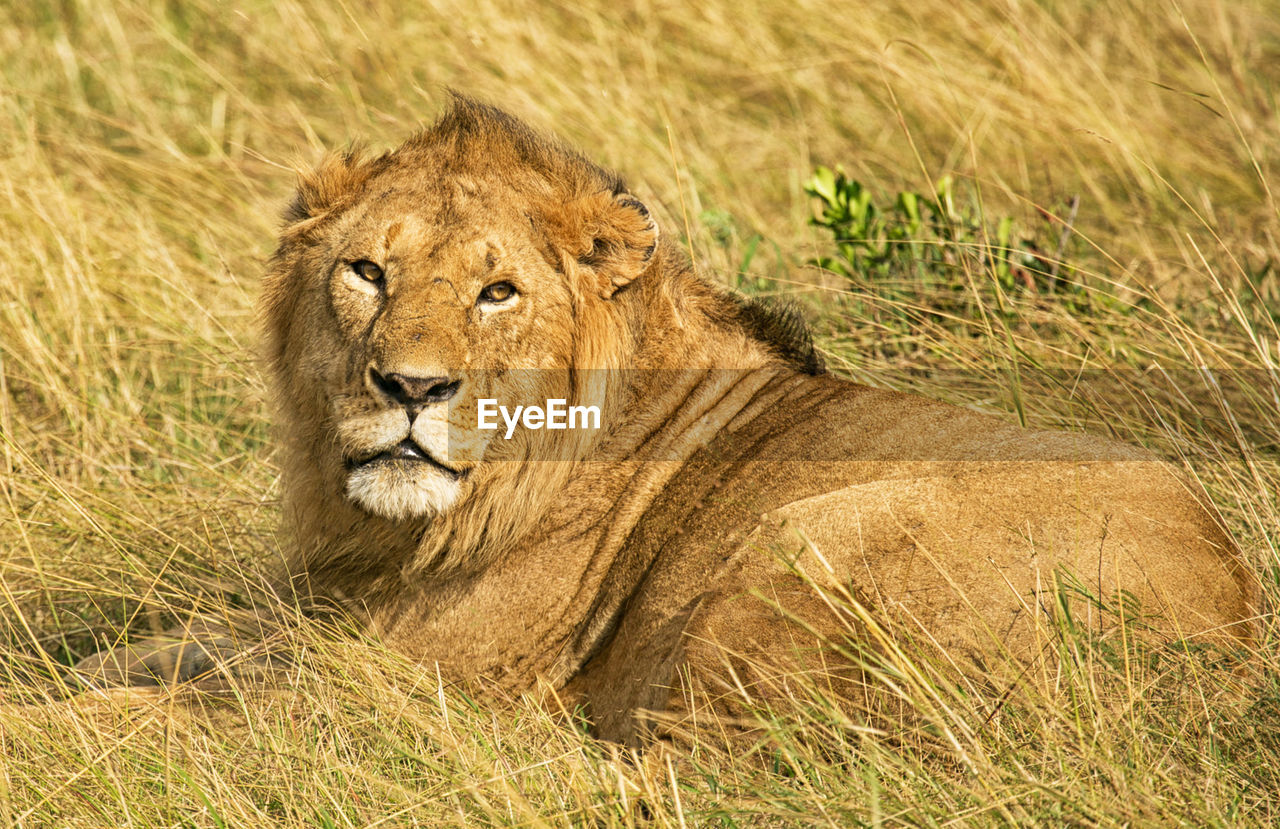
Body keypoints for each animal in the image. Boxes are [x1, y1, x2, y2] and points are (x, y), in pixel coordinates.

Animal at [77, 95, 1259, 747]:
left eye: (497, 293)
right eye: (367, 271)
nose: (410, 389)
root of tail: (1228, 635)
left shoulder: (380, 683)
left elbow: (154, 713)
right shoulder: (316, 615)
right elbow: (158, 650)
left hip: (804, 535)